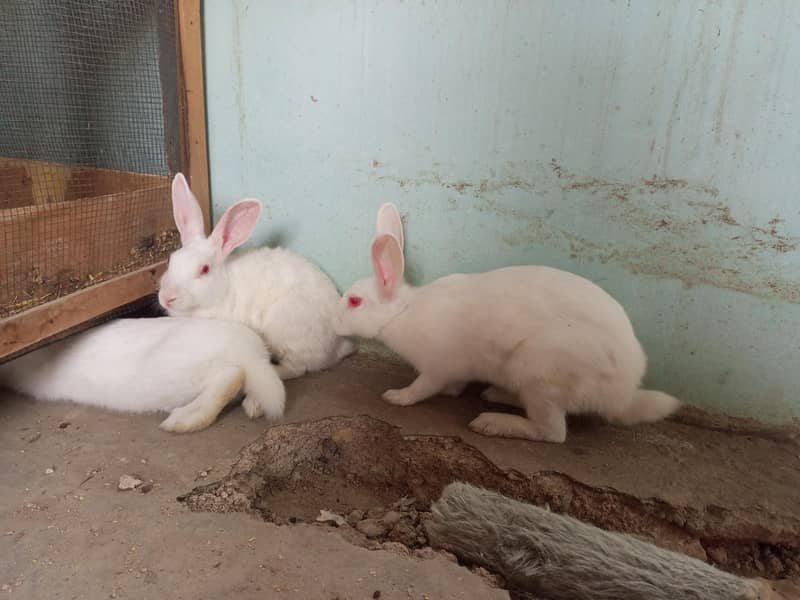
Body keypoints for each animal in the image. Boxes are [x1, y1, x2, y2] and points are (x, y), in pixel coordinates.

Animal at [157, 173, 354, 380]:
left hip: (287, 330)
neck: (223, 289)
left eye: (204, 269)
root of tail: (340, 344)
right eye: (170, 260)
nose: (167, 297)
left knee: (297, 367)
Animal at [332, 203, 680, 443]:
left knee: (552, 432)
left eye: (354, 301)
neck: (403, 311)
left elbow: (422, 387)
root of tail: (624, 393)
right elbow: (454, 385)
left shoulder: (437, 366)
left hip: (540, 374)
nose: (333, 321)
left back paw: (492, 421)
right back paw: (497, 395)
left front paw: (396, 397)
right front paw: (452, 393)